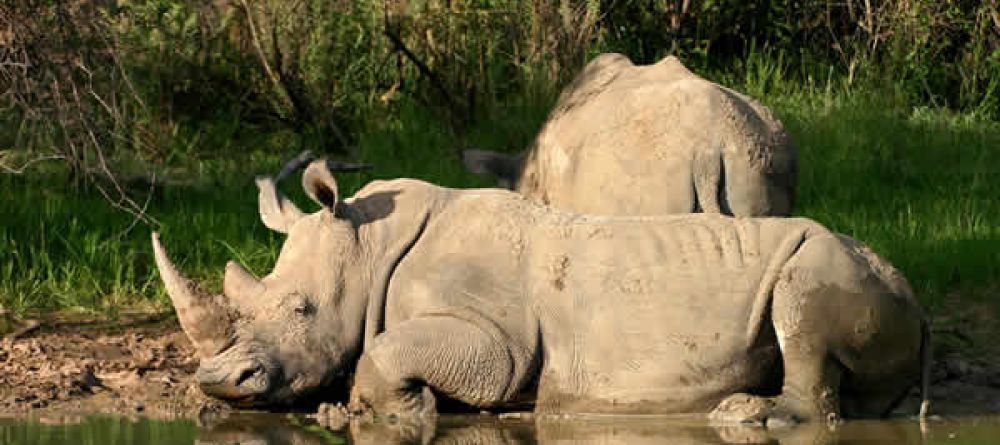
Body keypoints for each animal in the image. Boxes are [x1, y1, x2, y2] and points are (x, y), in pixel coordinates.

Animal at [153, 159, 928, 424]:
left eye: (303, 309)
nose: (218, 382)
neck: (371, 247)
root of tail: (910, 286)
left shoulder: (495, 341)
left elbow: (391, 350)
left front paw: (394, 410)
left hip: (831, 261)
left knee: (803, 312)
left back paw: (744, 416)